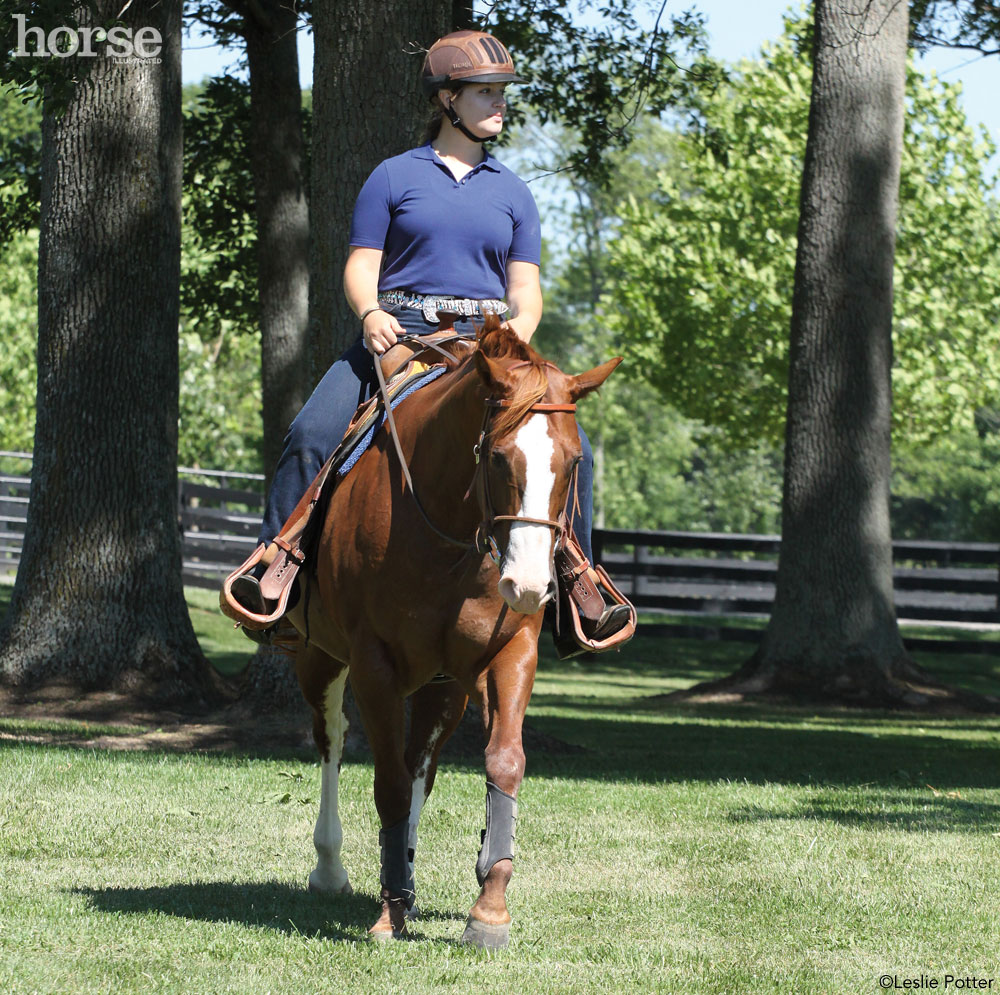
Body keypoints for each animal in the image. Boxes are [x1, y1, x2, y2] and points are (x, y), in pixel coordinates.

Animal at [282, 320, 620, 948]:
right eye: (499, 459)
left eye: (572, 463)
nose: (529, 584)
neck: (447, 535)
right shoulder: (374, 665)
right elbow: (387, 782)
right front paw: (388, 912)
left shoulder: (510, 654)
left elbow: (501, 763)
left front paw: (489, 907)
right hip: (319, 660)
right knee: (333, 743)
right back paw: (332, 868)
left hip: (445, 686)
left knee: (422, 761)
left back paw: (409, 876)